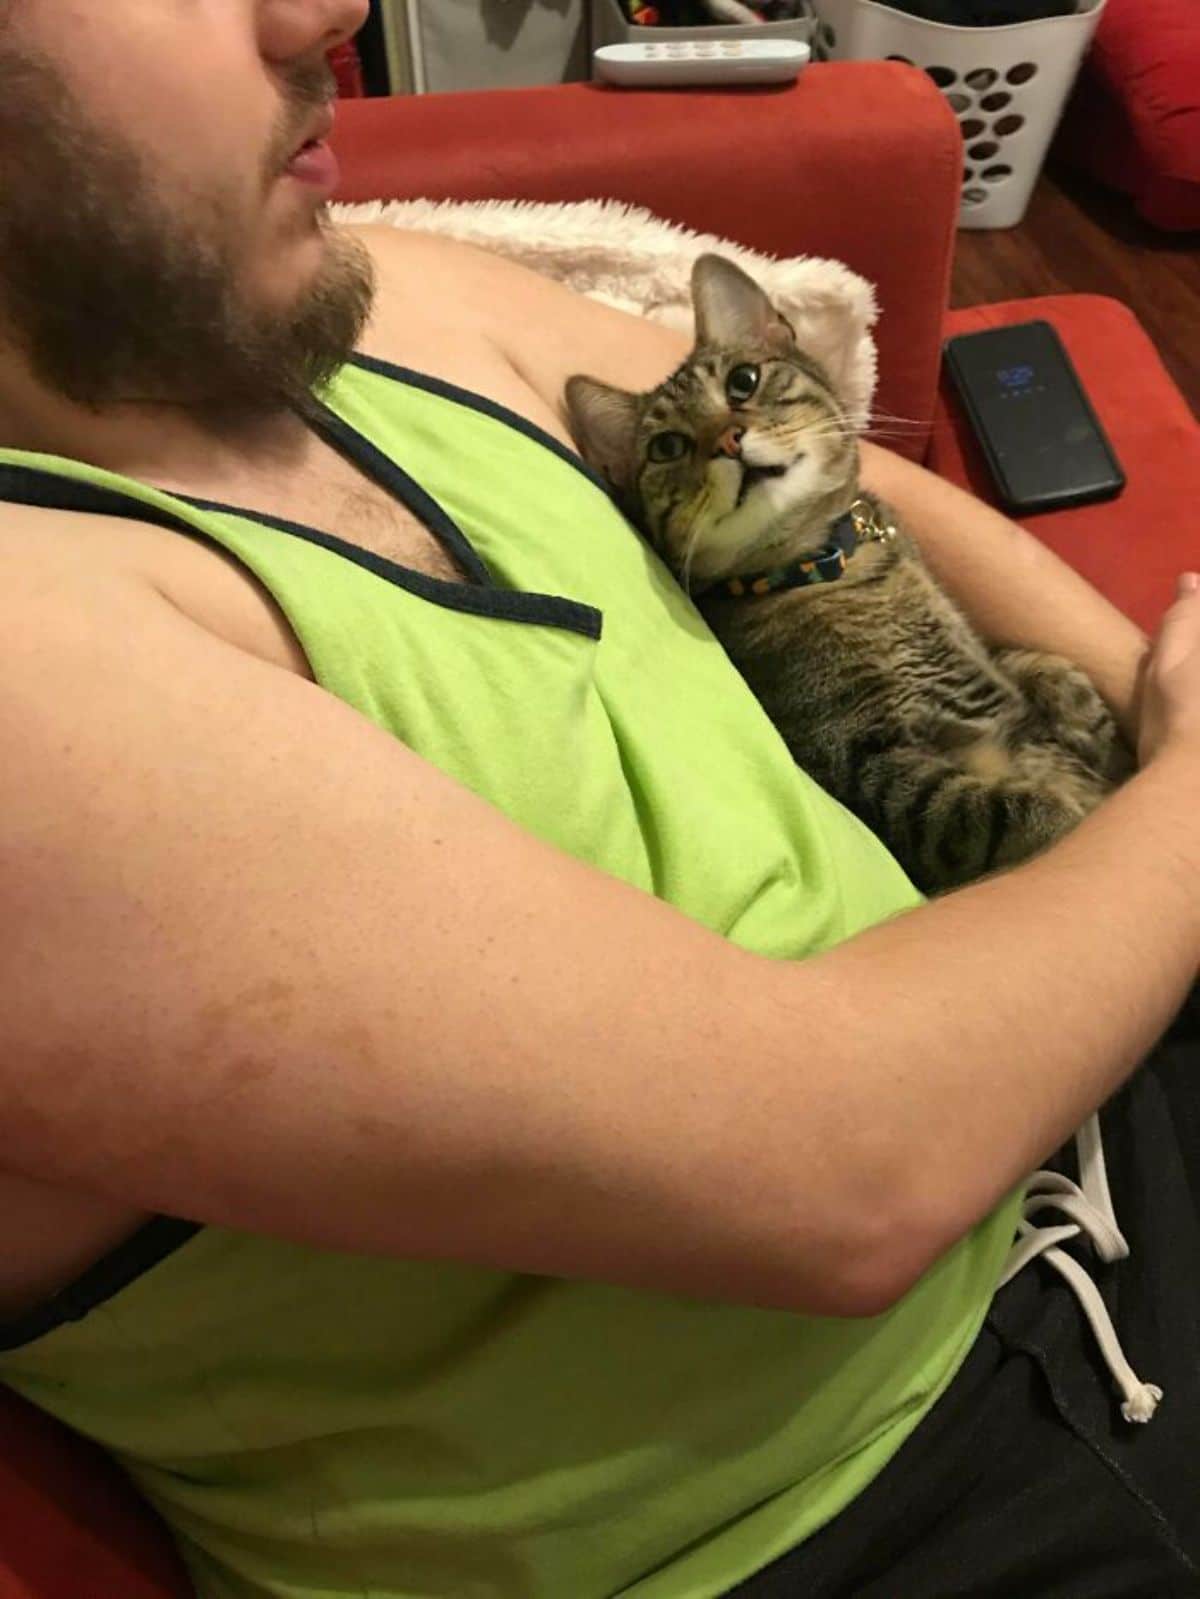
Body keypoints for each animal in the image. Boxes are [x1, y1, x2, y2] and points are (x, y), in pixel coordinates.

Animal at [569, 255, 1132, 895]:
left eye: (743, 381)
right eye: (666, 446)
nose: (729, 441)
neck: (830, 563)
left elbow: (1023, 661)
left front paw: (1080, 711)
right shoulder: (864, 766)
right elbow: (984, 811)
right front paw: (1076, 810)